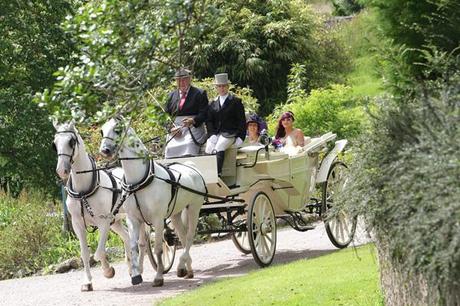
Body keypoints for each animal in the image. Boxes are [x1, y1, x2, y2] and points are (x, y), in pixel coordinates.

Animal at [52, 120, 146, 290]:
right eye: (54, 144)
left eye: (71, 141)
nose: (62, 170)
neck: (84, 190)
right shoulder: (77, 224)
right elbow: (85, 253)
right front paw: (87, 282)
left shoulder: (103, 222)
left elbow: (99, 252)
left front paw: (108, 271)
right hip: (115, 221)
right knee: (127, 237)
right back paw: (131, 269)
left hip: (135, 216)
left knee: (141, 243)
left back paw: (139, 270)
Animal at [99, 117, 206, 286]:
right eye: (102, 131)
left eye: (117, 130)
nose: (105, 151)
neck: (140, 181)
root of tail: (191, 166)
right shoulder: (133, 219)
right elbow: (134, 246)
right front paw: (136, 275)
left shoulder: (157, 219)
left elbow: (158, 249)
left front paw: (158, 277)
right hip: (175, 214)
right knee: (182, 237)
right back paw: (186, 269)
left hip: (194, 208)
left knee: (189, 236)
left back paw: (181, 264)